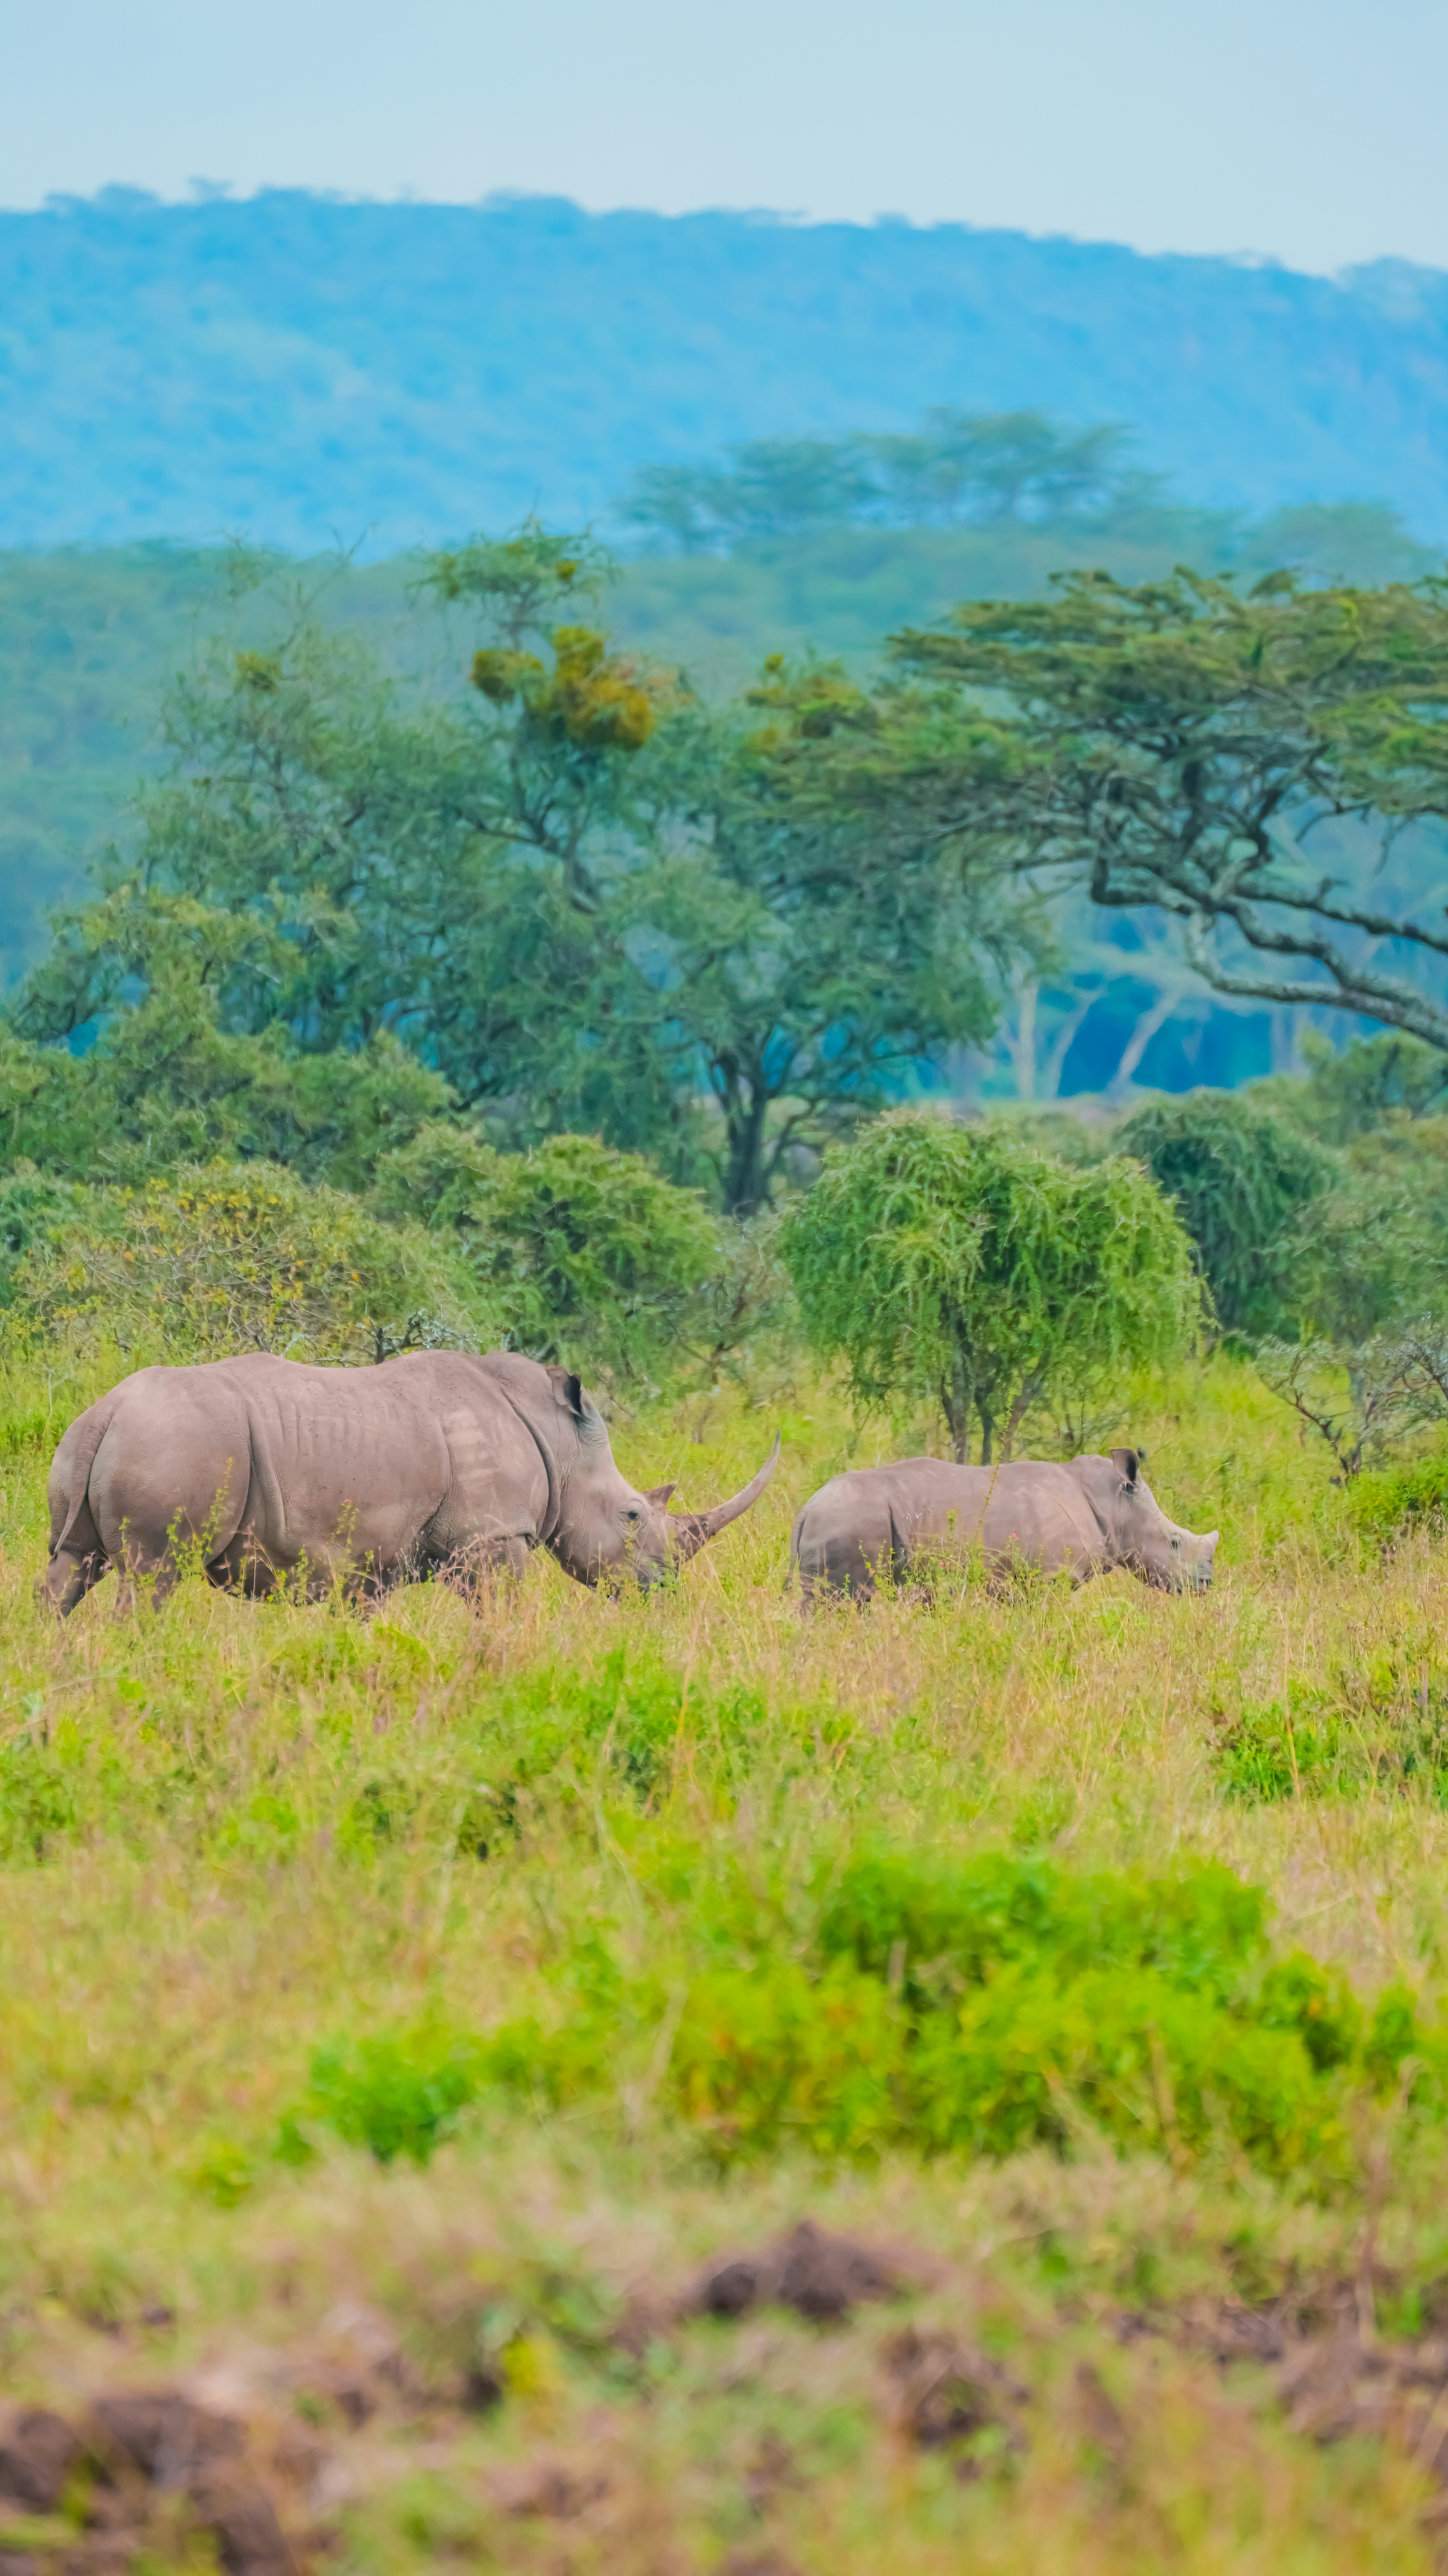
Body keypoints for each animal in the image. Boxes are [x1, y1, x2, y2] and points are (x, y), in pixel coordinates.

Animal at [41, 1347, 779, 1614]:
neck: (560, 1442)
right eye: (633, 1516)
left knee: (73, 1564)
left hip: (90, 1442)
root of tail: (107, 1410)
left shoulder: (370, 1557)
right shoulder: (493, 1535)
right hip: (180, 1440)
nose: (663, 1589)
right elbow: (498, 1612)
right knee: (153, 1572)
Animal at [789, 1449, 1217, 1602]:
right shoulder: (1052, 1576)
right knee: (846, 1599)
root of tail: (806, 1509)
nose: (1206, 1585)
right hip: (851, 1519)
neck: (1115, 1506)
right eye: (1175, 1542)